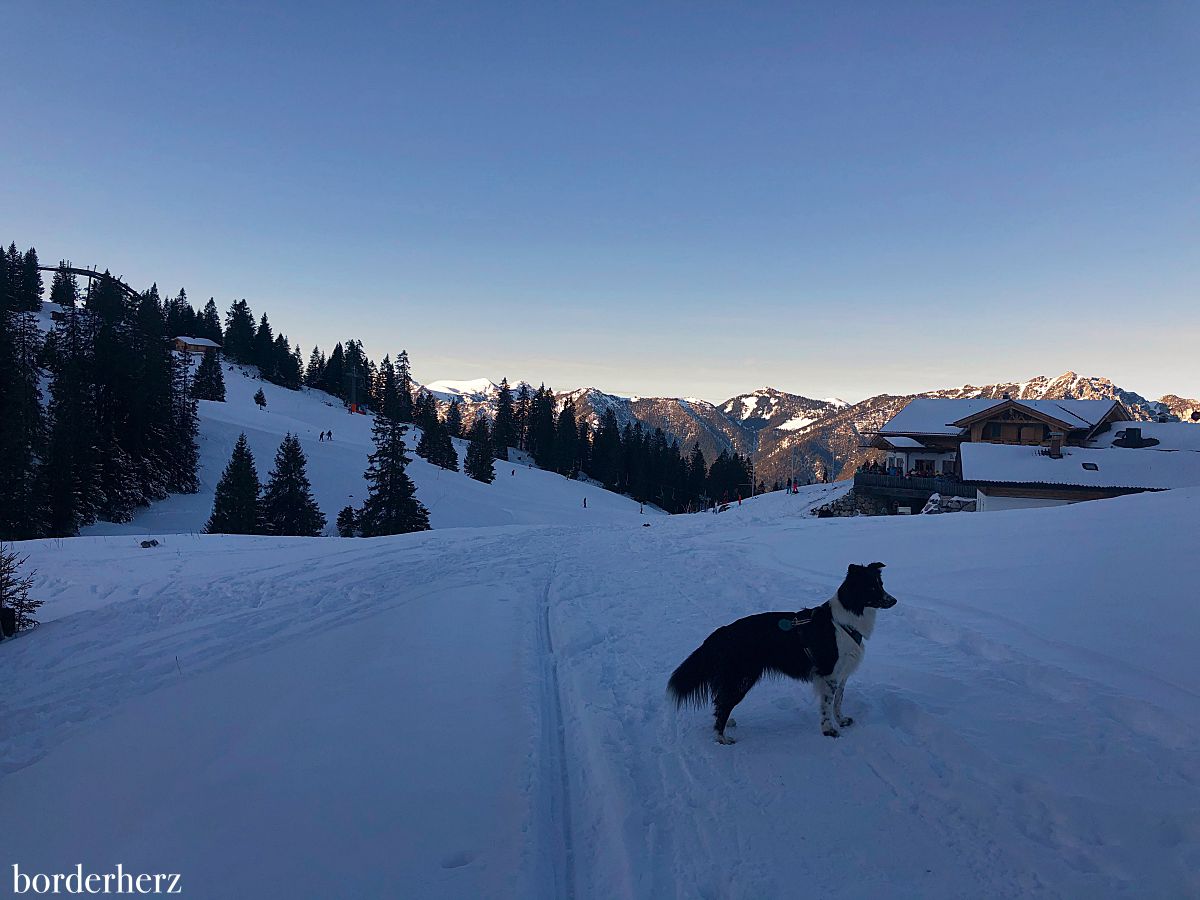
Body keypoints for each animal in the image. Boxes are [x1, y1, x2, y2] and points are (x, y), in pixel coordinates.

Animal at [667, 564, 902, 748]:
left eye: (881, 584)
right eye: (871, 587)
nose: (894, 600)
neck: (845, 620)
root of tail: (723, 632)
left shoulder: (842, 674)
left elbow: (838, 702)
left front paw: (841, 720)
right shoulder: (828, 675)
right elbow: (827, 705)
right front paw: (829, 731)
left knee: (721, 701)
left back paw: (727, 725)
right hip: (743, 679)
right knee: (723, 704)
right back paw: (721, 738)